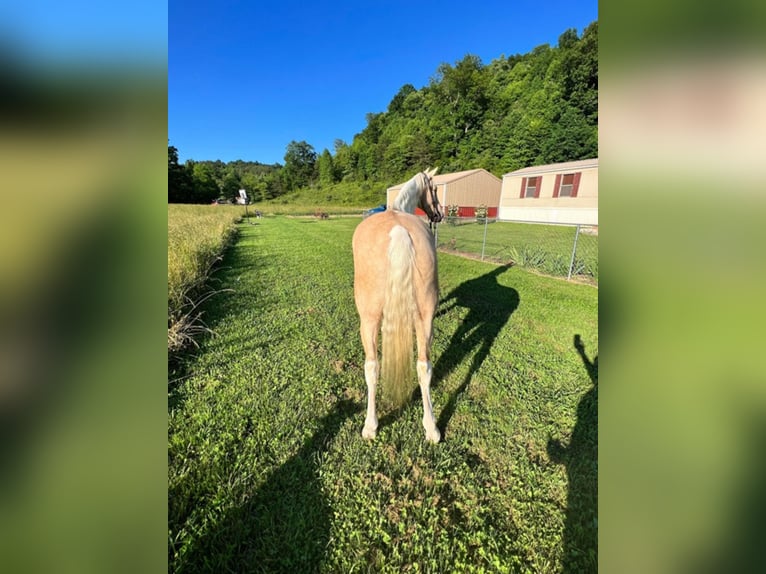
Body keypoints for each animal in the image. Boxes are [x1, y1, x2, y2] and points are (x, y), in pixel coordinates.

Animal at [352, 168, 444, 446]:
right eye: (435, 189)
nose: (439, 214)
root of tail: (399, 231)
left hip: (369, 320)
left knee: (372, 367)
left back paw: (370, 426)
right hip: (425, 318)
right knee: (424, 366)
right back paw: (431, 428)